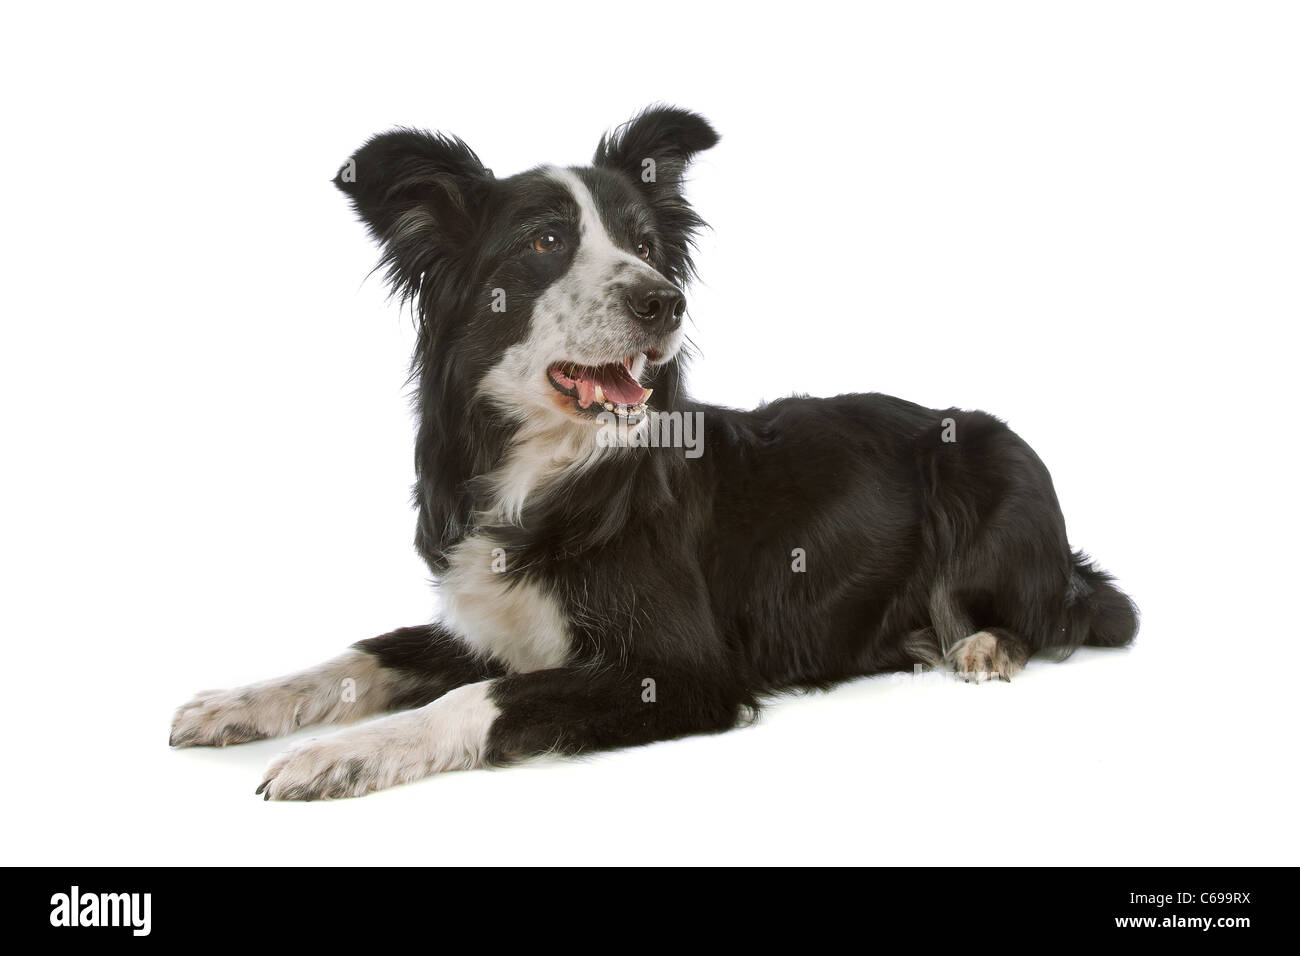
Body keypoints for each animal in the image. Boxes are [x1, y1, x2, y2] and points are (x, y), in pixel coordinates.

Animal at [170, 106, 1138, 801]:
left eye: (643, 245)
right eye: (546, 242)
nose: (664, 300)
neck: (554, 467)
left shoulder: (678, 671)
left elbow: (479, 698)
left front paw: (344, 754)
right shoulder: (492, 622)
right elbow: (364, 655)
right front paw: (240, 702)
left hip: (992, 461)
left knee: (1083, 609)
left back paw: (985, 644)